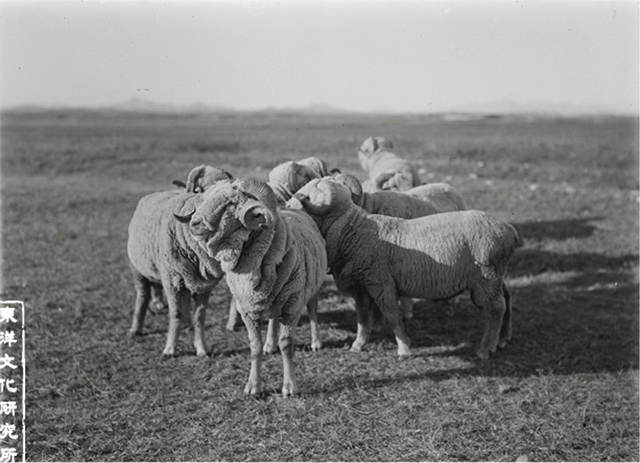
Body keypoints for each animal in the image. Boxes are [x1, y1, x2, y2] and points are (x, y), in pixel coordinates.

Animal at [126, 169, 234, 356]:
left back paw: (187, 325)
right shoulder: (171, 280)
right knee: (142, 296)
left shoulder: (205, 285)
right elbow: (175, 313)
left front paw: (201, 348)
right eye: (202, 191)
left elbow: (200, 317)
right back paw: (136, 328)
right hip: (138, 269)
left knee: (184, 302)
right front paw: (170, 349)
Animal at [174, 178, 328, 396]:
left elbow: (287, 345)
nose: (194, 223)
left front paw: (289, 387)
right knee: (273, 320)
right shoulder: (248, 310)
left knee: (313, 312)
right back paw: (270, 344)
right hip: (274, 300)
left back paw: (315, 342)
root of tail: (295, 209)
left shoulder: (292, 306)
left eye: (230, 203)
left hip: (312, 287)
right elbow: (254, 346)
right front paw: (253, 386)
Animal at [292, 179, 524, 360]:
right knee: (507, 298)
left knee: (496, 309)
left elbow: (391, 314)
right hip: (495, 277)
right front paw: (358, 344)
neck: (353, 230)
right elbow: (361, 318)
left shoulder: (380, 282)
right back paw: (503, 339)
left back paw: (485, 349)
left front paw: (404, 348)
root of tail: (509, 229)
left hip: (485, 280)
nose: (289, 203)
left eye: (309, 195)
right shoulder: (362, 287)